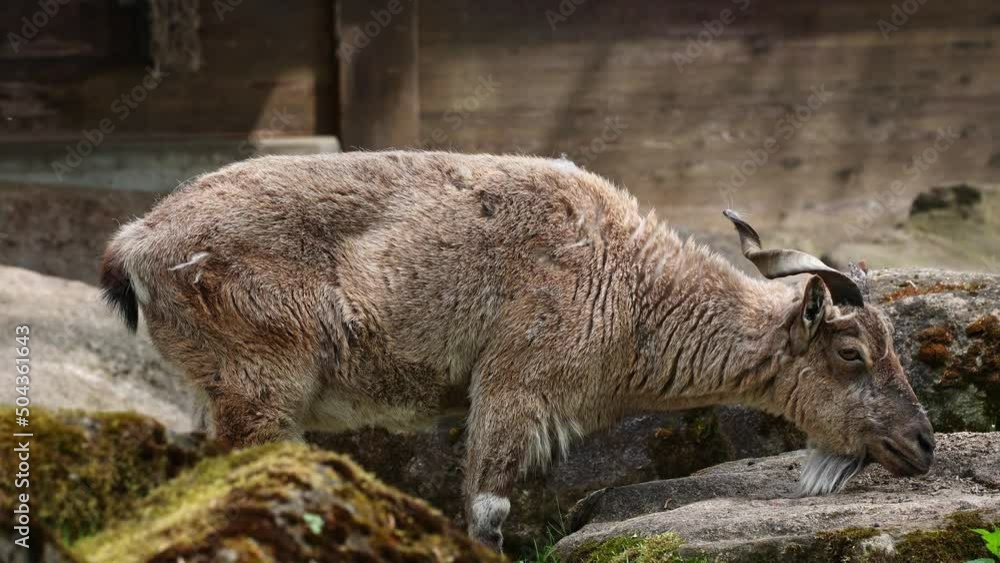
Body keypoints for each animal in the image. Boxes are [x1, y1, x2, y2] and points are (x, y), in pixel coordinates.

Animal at [100, 151, 934, 550]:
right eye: (851, 351)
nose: (922, 442)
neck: (623, 279)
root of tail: (137, 241)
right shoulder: (511, 385)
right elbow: (488, 508)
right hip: (261, 385)